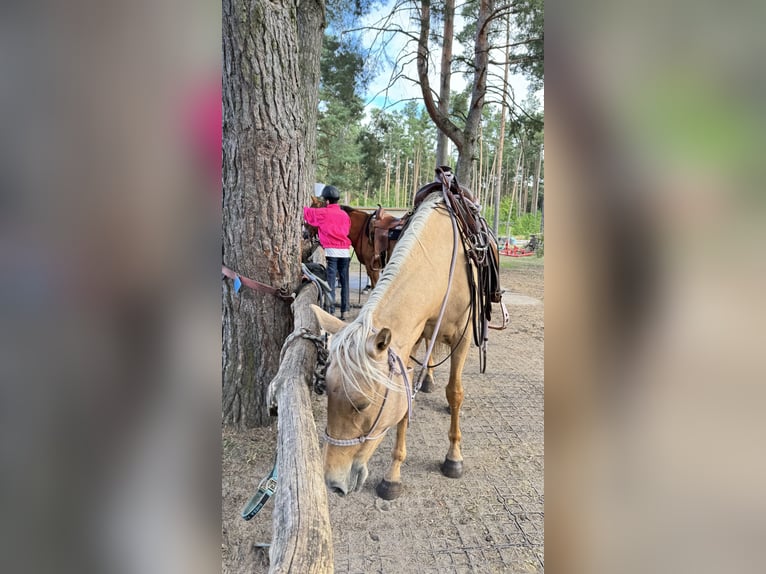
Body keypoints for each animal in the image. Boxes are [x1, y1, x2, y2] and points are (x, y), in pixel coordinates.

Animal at [312, 188, 478, 500]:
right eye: (325, 392)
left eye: (363, 405)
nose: (333, 483)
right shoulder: (407, 343)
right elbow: (405, 397)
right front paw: (393, 476)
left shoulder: (461, 339)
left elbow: (455, 393)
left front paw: (453, 457)